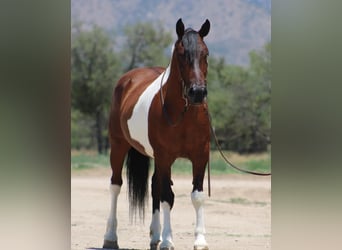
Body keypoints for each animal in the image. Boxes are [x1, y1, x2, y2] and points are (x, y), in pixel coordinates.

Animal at [103, 18, 211, 249]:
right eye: (181, 54)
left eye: (205, 53)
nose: (197, 93)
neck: (183, 115)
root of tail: (128, 79)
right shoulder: (165, 157)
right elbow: (167, 197)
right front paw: (168, 240)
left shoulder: (200, 156)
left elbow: (196, 196)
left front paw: (200, 240)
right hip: (118, 146)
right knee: (116, 185)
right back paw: (110, 237)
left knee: (154, 185)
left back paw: (154, 236)